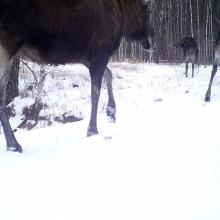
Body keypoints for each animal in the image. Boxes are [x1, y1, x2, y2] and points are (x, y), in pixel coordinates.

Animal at [0, 0, 156, 152]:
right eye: (147, 12)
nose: (152, 41)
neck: (123, 14)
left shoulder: (86, 57)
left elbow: (108, 74)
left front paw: (111, 111)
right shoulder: (100, 51)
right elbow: (95, 92)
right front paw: (92, 130)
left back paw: (12, 145)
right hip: (6, 49)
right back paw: (14, 144)